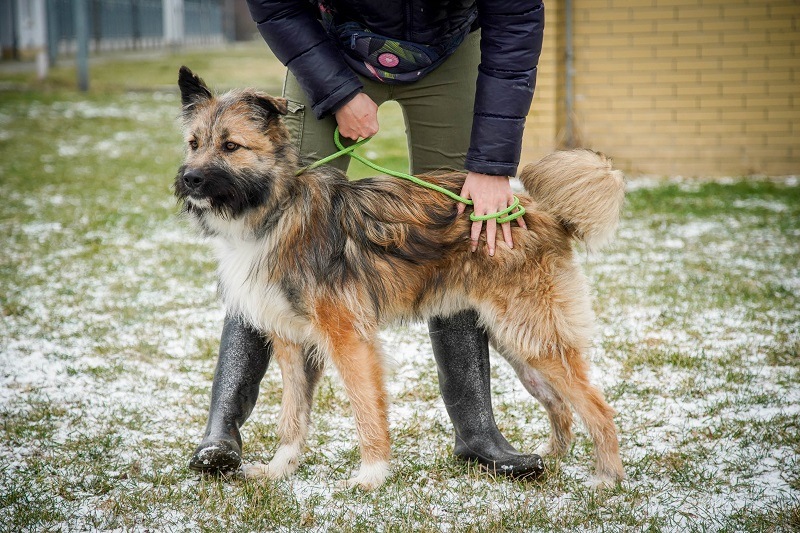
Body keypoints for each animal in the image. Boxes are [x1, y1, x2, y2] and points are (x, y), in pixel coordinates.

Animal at [175, 64, 624, 488]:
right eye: (194, 143)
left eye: (231, 146)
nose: (189, 179)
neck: (275, 209)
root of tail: (540, 211)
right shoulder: (290, 341)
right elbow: (293, 415)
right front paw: (280, 469)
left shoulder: (349, 338)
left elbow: (365, 408)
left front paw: (372, 474)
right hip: (517, 340)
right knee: (561, 403)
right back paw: (547, 458)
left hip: (534, 333)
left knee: (599, 407)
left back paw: (606, 478)